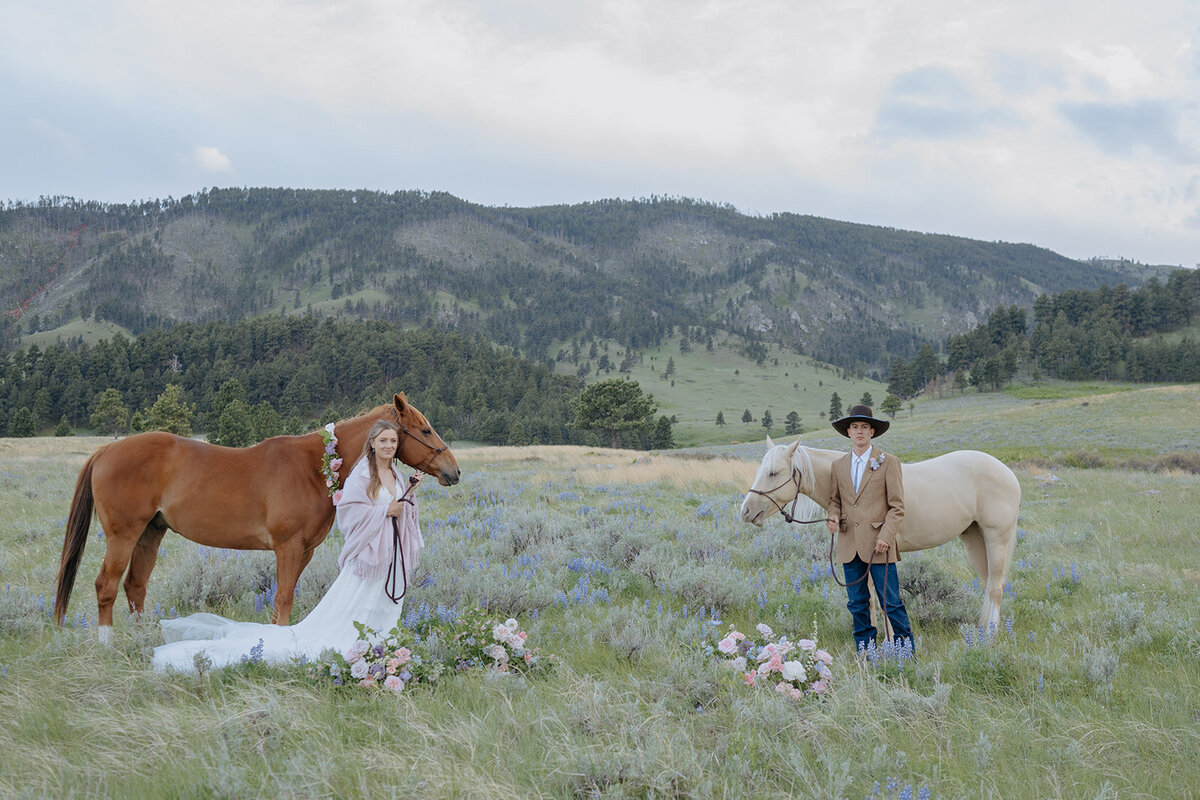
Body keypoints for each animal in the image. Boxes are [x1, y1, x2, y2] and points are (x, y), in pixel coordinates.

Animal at [50, 391, 458, 642]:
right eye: (425, 429)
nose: (453, 471)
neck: (314, 467)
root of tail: (106, 450)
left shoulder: (304, 550)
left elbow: (281, 600)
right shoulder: (288, 547)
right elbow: (284, 598)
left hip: (151, 532)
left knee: (136, 586)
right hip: (123, 535)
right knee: (106, 586)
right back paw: (107, 645)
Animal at [739, 438, 1022, 633]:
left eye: (773, 473)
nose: (746, 511)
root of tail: (1007, 472)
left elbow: (884, 600)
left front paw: (891, 642)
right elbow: (870, 599)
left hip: (996, 538)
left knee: (995, 587)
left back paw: (990, 638)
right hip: (974, 539)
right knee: (988, 583)